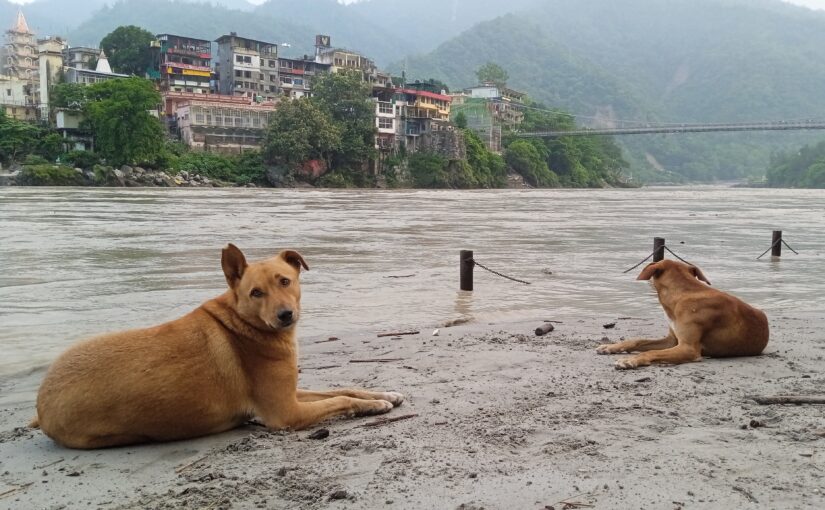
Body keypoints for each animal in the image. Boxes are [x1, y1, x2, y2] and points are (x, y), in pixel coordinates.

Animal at [33, 245, 406, 448]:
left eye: (285, 281)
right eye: (256, 293)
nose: (285, 315)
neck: (244, 325)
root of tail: (40, 401)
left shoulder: (290, 394)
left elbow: (343, 388)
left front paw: (383, 395)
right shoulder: (286, 412)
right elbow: (340, 400)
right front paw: (373, 406)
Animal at [600, 260, 768, 368]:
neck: (683, 294)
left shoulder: (688, 348)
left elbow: (652, 351)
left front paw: (631, 360)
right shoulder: (672, 341)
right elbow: (638, 340)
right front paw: (612, 346)